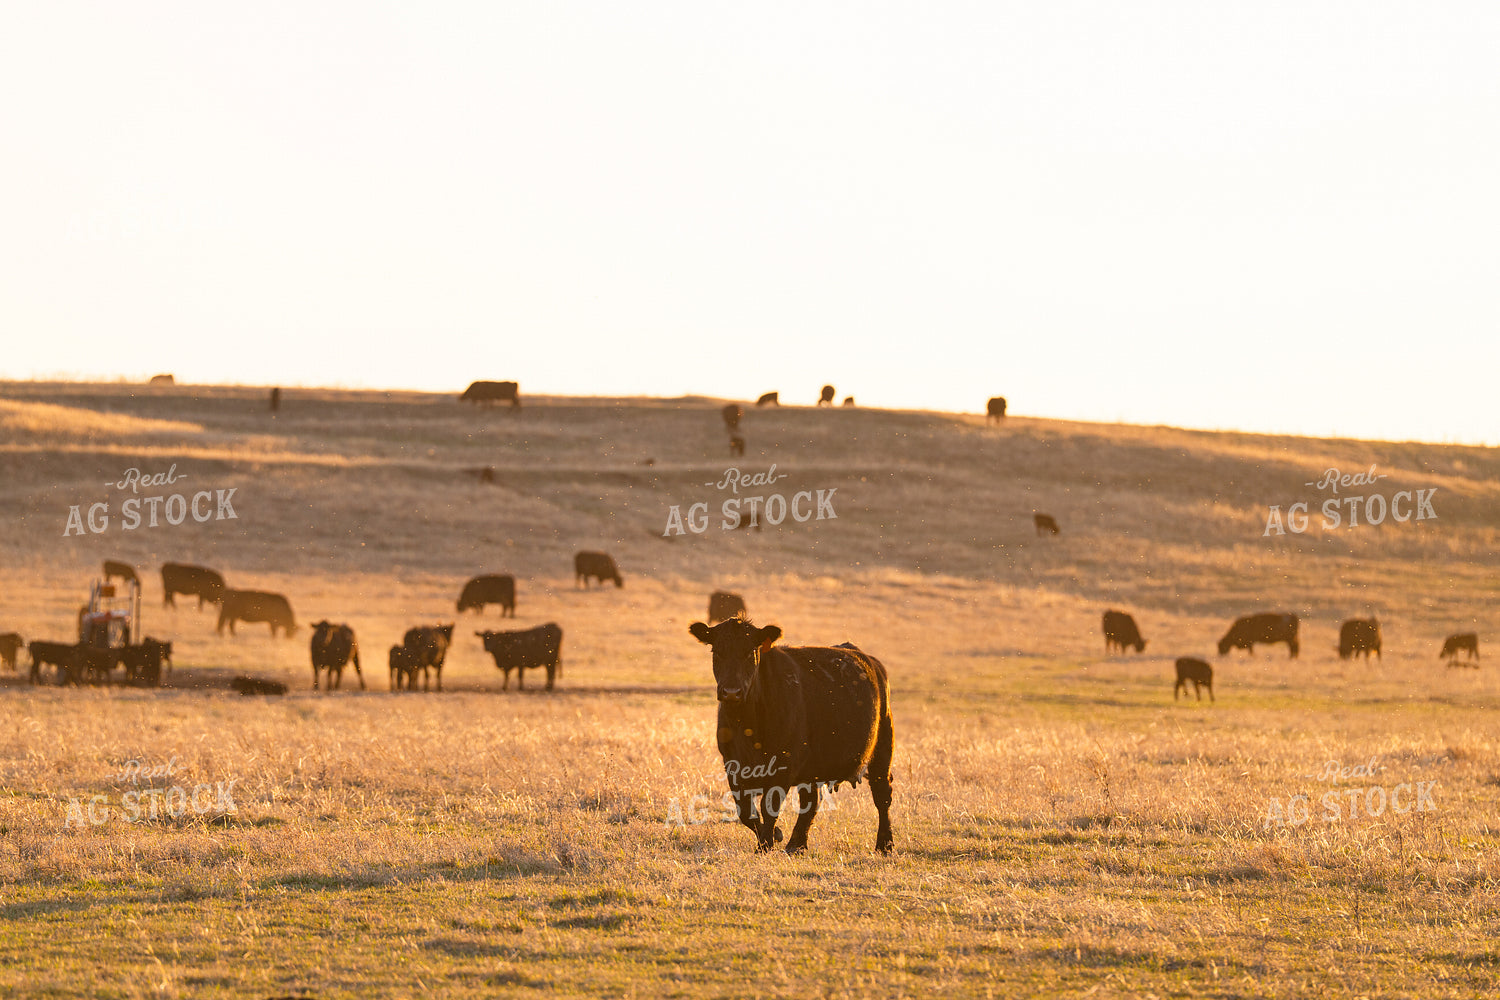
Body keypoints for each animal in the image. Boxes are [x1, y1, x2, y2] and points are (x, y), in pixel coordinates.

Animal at [689, 619, 894, 855]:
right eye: (717, 651)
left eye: (750, 652)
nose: (732, 692)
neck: (746, 724)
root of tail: (871, 662)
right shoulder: (732, 764)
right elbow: (745, 811)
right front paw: (775, 835)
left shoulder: (784, 764)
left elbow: (769, 806)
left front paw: (765, 845)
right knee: (811, 801)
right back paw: (796, 845)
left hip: (882, 749)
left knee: (882, 794)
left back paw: (885, 844)